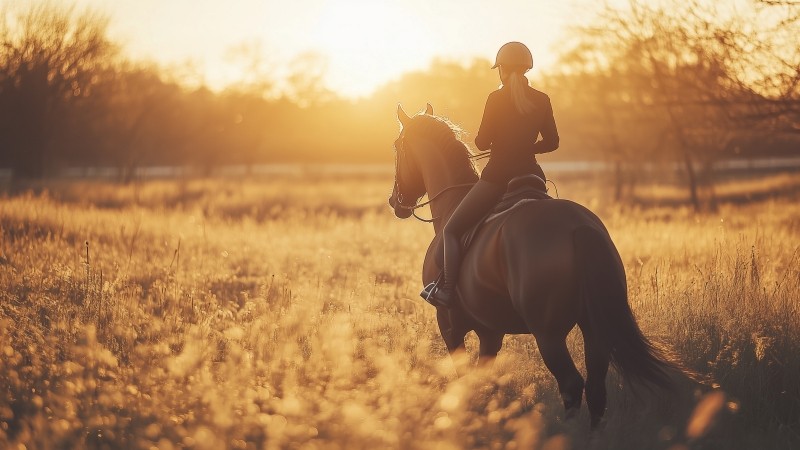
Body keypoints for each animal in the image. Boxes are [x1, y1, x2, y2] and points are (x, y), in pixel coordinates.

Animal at [388, 104, 684, 428]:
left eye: (397, 147)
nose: (395, 202)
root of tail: (578, 226)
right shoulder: (490, 331)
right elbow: (482, 378)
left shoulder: (450, 325)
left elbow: (463, 375)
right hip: (594, 326)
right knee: (595, 386)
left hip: (548, 334)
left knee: (571, 384)